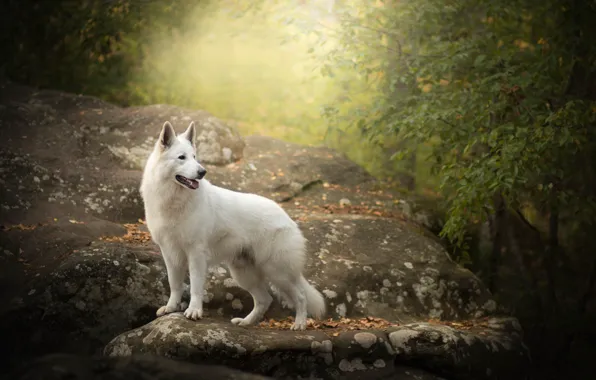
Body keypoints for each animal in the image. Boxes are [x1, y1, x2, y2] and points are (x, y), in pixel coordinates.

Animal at [140, 121, 326, 330]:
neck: (174, 201)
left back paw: (299, 324)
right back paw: (246, 322)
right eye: (182, 157)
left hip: (278, 272)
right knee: (265, 300)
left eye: (195, 157)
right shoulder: (170, 254)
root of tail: (287, 217)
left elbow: (195, 286)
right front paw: (171, 307)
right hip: (243, 274)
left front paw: (194, 311)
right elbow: (174, 284)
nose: (202, 172)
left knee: (300, 296)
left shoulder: (196, 254)